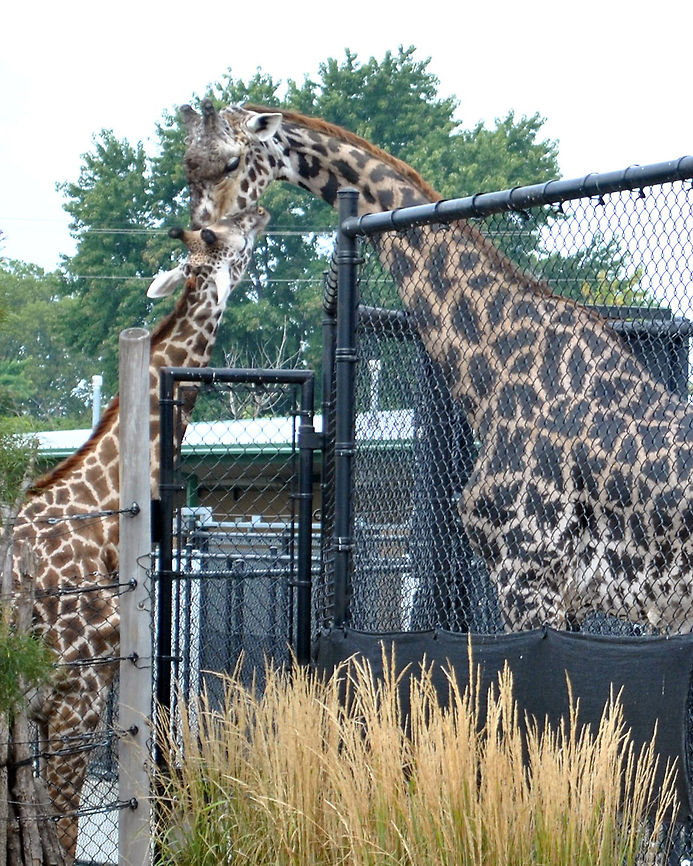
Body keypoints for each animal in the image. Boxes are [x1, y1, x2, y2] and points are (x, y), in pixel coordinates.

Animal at [11, 205, 269, 860]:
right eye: (223, 236)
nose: (260, 212)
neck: (101, 513)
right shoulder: (74, 698)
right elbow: (63, 832)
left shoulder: (64, 707)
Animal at [180, 101, 693, 638]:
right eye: (188, 165)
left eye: (233, 162)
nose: (201, 238)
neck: (494, 372)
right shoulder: (554, 591)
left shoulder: (528, 575)